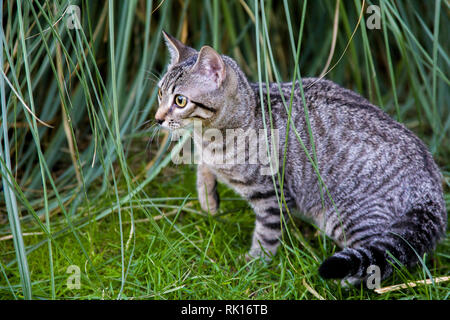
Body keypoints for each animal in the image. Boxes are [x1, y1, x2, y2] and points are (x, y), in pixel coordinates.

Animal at [155, 31, 446, 284]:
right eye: (160, 93)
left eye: (180, 100)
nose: (157, 118)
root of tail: (431, 184)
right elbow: (203, 165)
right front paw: (208, 198)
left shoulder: (271, 194)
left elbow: (267, 233)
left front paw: (253, 263)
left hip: (349, 216)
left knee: (381, 258)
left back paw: (349, 281)